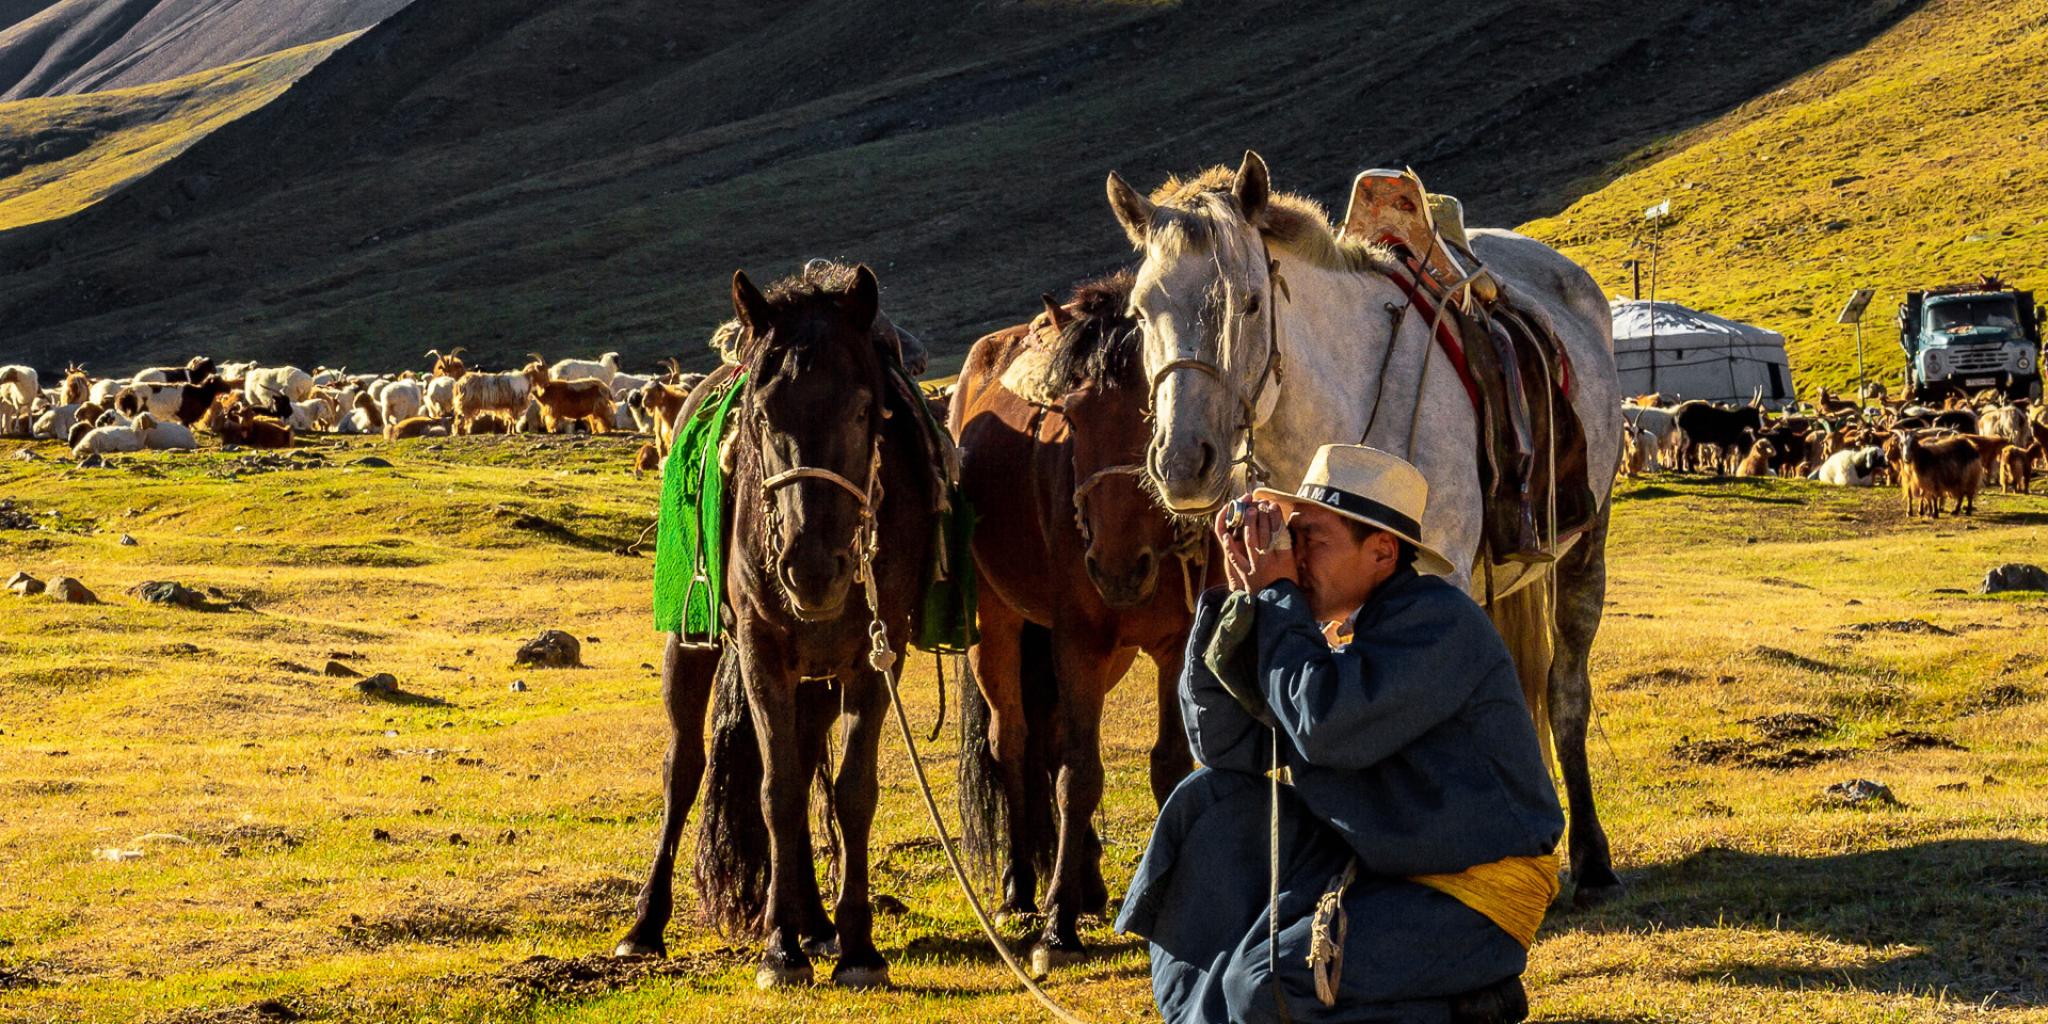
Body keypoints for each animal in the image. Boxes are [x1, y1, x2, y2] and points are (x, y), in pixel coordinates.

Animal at [602, 264, 933, 991]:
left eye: (863, 411)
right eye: (760, 416)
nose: (811, 569)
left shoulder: (877, 657)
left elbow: (852, 791)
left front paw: (857, 946)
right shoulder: (760, 651)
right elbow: (775, 791)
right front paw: (780, 951)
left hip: (817, 677)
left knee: (807, 761)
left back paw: (816, 920)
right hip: (691, 643)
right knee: (684, 767)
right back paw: (646, 927)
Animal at [946, 266, 1212, 966]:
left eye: (1154, 411)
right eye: (1069, 415)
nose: (1116, 566)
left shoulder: (1174, 643)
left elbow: (1166, 765)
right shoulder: (1079, 641)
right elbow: (1078, 776)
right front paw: (1056, 925)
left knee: (1052, 736)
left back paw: (1085, 878)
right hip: (1000, 627)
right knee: (1013, 741)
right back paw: (1021, 885)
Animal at [1114, 151, 1622, 905]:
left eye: (1251, 303)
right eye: (1141, 312)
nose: (1183, 462)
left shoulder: (1444, 581)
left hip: (1586, 545)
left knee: (1565, 694)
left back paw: (1590, 859)